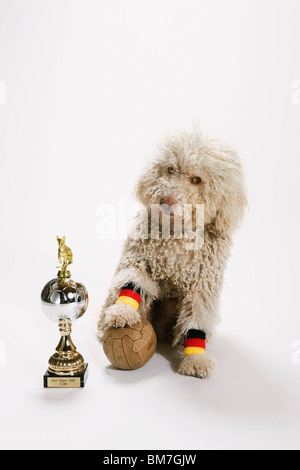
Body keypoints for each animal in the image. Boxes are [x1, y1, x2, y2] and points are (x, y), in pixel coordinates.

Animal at [98, 129, 246, 378]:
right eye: (170, 169)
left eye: (196, 179)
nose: (165, 199)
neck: (178, 234)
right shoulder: (139, 258)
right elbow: (132, 284)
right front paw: (122, 312)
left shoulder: (203, 286)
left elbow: (197, 320)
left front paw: (196, 360)